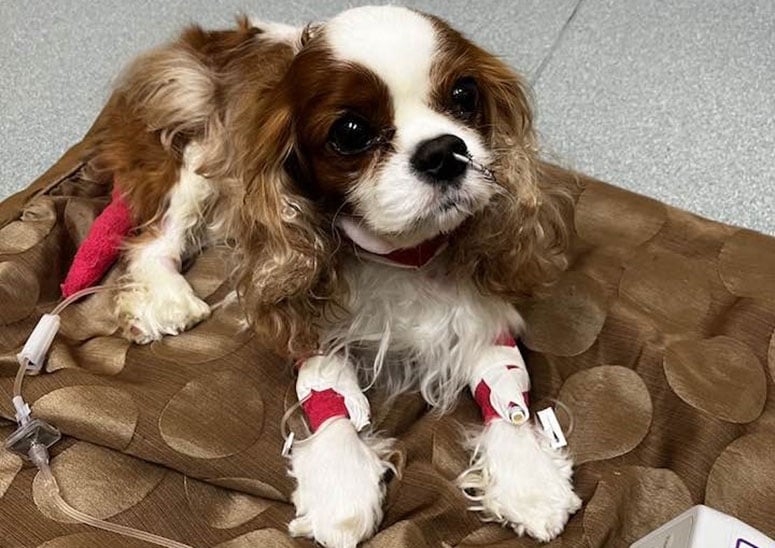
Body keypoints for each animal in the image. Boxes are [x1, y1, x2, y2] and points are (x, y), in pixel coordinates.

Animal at [92, 6, 584, 544]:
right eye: (350, 132)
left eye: (464, 94)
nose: (442, 152)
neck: (405, 255)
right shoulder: (306, 315)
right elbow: (331, 397)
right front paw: (341, 489)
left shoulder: (482, 310)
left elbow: (505, 392)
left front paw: (528, 479)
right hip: (194, 147)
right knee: (154, 236)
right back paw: (166, 297)